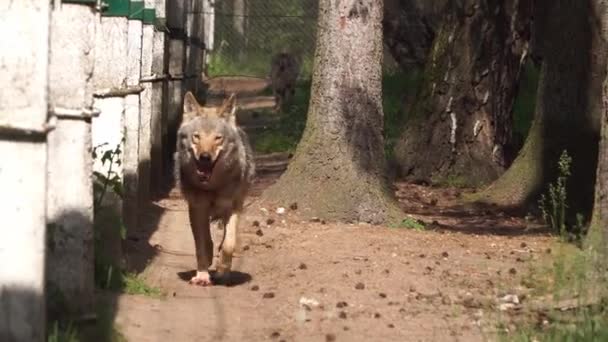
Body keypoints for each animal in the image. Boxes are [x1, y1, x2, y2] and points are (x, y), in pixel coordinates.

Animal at [175, 91, 255, 286]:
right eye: (196, 137)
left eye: (218, 138)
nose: (205, 157)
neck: (212, 187)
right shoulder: (197, 209)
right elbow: (201, 245)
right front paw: (203, 275)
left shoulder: (234, 207)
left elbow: (228, 244)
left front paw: (222, 271)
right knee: (206, 239)